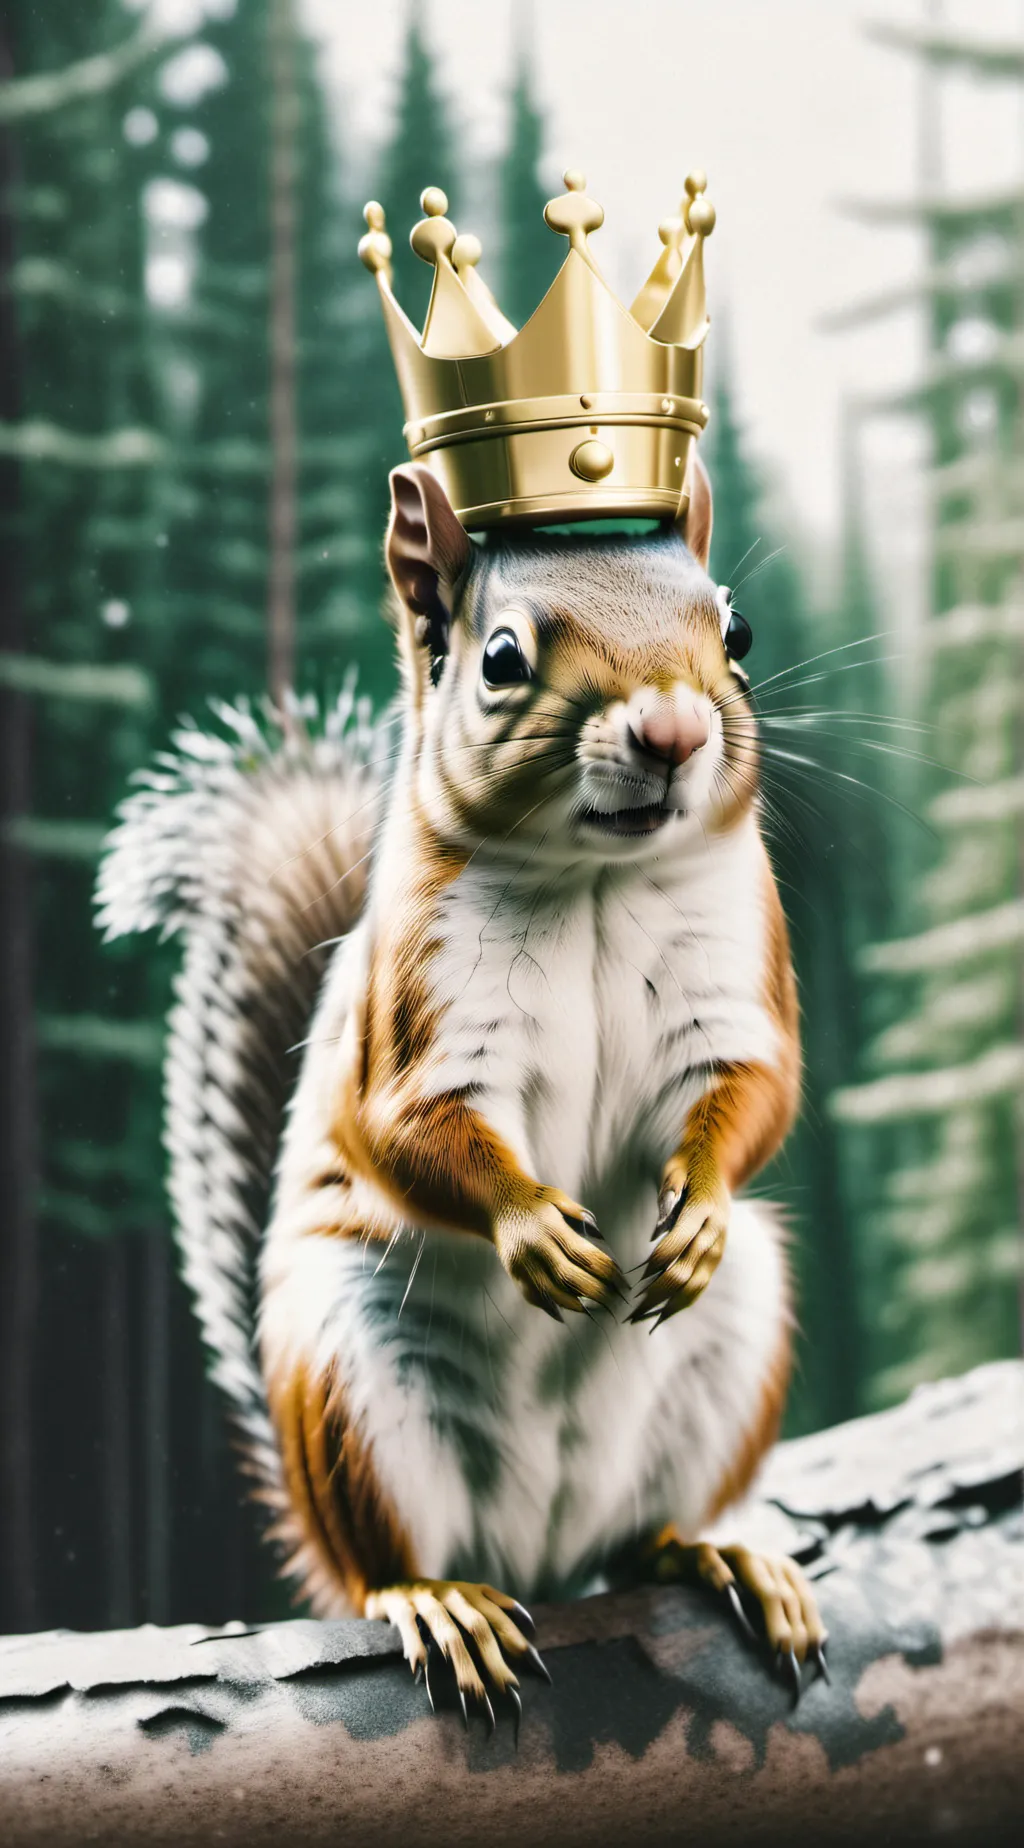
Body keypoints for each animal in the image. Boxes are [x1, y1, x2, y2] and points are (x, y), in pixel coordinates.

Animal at [98, 453, 827, 1721]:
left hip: (734, 1345)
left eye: (734, 631)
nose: (676, 729)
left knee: (640, 1539)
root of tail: (536, 1550)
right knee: (383, 1563)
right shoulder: (414, 1024)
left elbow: (753, 1090)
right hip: (348, 1382)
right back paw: (436, 1598)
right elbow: (411, 1133)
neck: (596, 879)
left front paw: (696, 1213)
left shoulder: (734, 985)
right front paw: (534, 1232)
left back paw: (714, 1550)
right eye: (500, 659)